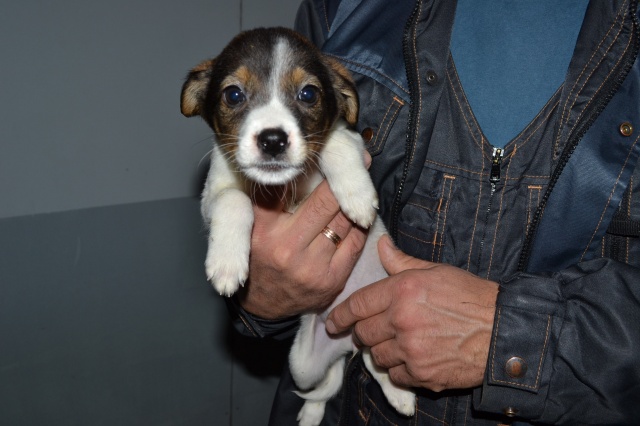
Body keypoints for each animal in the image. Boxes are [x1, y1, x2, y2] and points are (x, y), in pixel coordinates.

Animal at [180, 27, 415, 426]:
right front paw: (227, 264)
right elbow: (235, 200)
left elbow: (337, 142)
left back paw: (399, 393)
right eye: (233, 94)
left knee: (372, 358)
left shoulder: (350, 136)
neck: (285, 189)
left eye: (308, 94)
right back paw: (312, 413)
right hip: (302, 363)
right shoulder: (213, 194)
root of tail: (347, 336)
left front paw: (356, 196)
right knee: (349, 367)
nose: (273, 140)